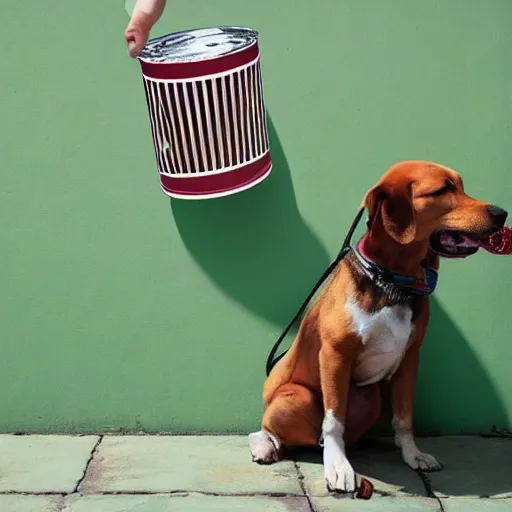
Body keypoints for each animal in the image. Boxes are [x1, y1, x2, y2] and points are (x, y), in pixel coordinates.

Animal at [248, 162, 508, 494]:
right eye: (442, 189)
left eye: (462, 186)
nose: (502, 213)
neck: (394, 280)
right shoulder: (335, 356)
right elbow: (333, 422)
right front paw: (338, 468)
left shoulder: (410, 358)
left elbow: (405, 417)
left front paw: (412, 454)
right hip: (295, 399)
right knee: (277, 433)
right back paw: (266, 446)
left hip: (370, 399)